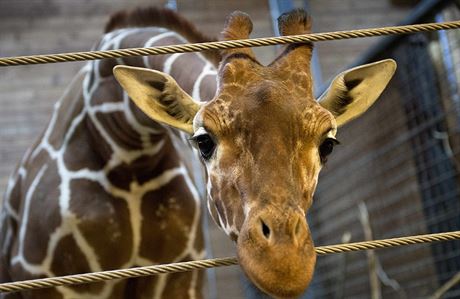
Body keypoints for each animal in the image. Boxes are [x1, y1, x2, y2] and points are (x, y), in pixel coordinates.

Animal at [0, 5, 396, 299]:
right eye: (204, 140)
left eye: (327, 143)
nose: (283, 264)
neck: (126, 149)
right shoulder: (48, 281)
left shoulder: (178, 278)